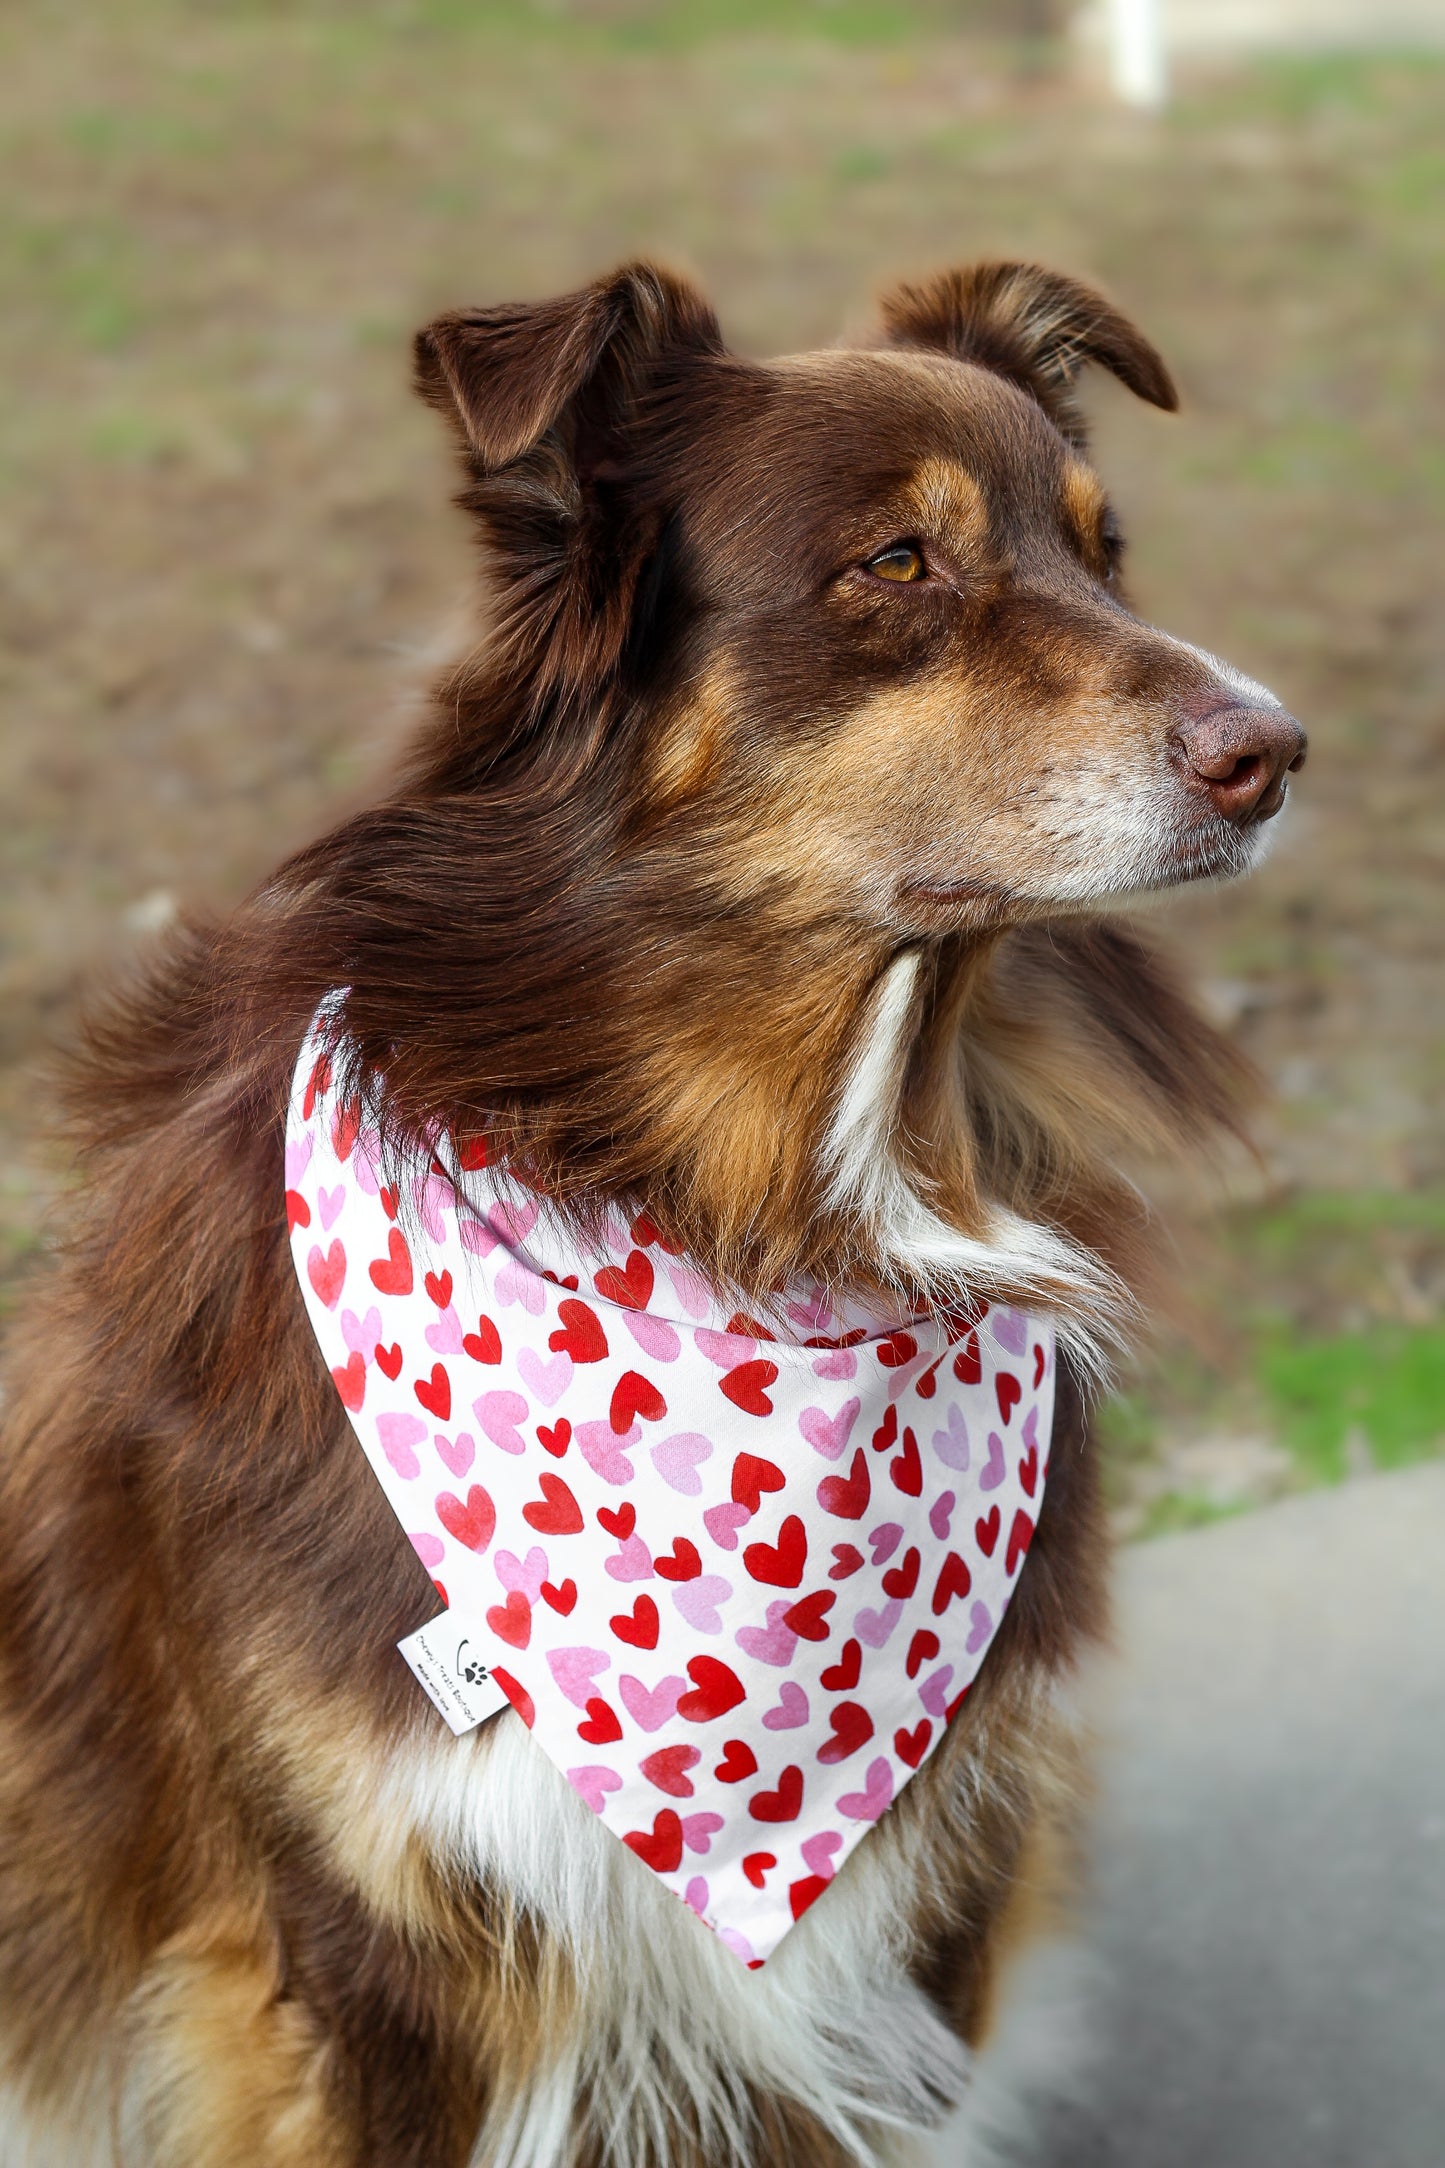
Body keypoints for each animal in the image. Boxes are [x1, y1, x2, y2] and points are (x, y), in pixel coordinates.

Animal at [0, 262, 1308, 2159]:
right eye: (896, 564)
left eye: (1105, 548)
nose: (1275, 749)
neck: (748, 1214)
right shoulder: (365, 1936)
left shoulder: (941, 1894)